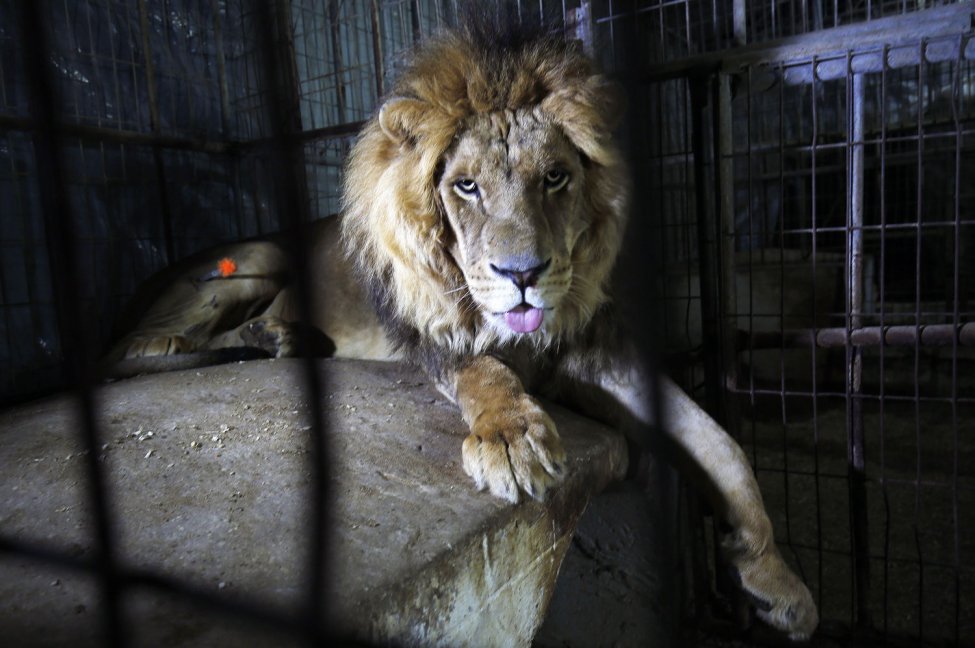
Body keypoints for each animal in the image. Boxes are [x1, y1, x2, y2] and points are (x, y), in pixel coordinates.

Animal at [104, 19, 818, 640]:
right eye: (466, 187)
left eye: (555, 177)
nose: (522, 273)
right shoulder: (433, 342)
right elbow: (485, 370)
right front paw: (512, 438)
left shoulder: (600, 357)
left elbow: (724, 447)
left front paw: (776, 580)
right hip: (258, 257)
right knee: (137, 347)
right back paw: (227, 342)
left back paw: (280, 339)